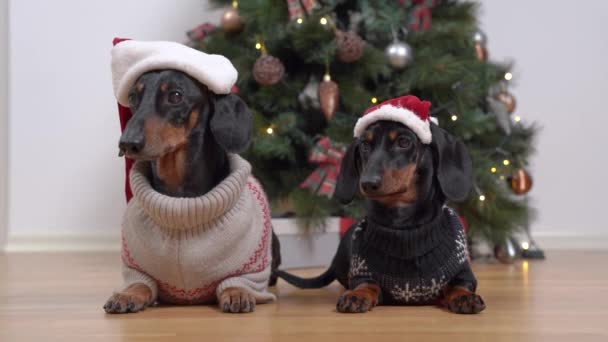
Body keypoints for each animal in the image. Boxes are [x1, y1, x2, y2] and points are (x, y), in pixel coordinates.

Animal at [104, 39, 280, 312]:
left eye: (175, 96)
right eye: (133, 97)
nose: (127, 143)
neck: (182, 199)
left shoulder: (251, 270)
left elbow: (238, 280)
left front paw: (237, 292)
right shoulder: (137, 268)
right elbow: (140, 282)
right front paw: (128, 294)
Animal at [276, 95, 484, 314]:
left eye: (404, 141)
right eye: (365, 145)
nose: (367, 183)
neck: (403, 227)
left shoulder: (463, 273)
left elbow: (459, 284)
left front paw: (464, 296)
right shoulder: (362, 273)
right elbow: (367, 284)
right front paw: (357, 295)